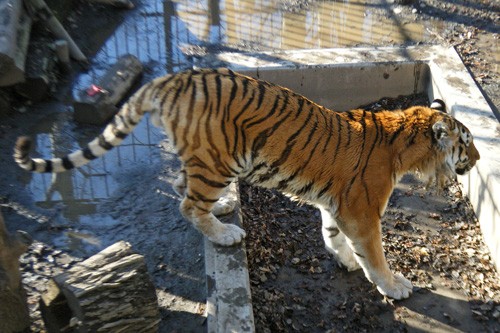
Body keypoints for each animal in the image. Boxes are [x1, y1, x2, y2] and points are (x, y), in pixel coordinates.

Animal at [13, 67, 478, 298]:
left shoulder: (338, 205)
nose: (475, 161)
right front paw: (394, 285)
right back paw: (224, 233)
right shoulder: (362, 211)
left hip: (205, 160)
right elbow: (375, 255)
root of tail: (172, 79)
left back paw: (220, 209)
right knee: (187, 204)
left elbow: (333, 235)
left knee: (184, 187)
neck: (405, 141)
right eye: (467, 143)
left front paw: (345, 260)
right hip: (220, 159)